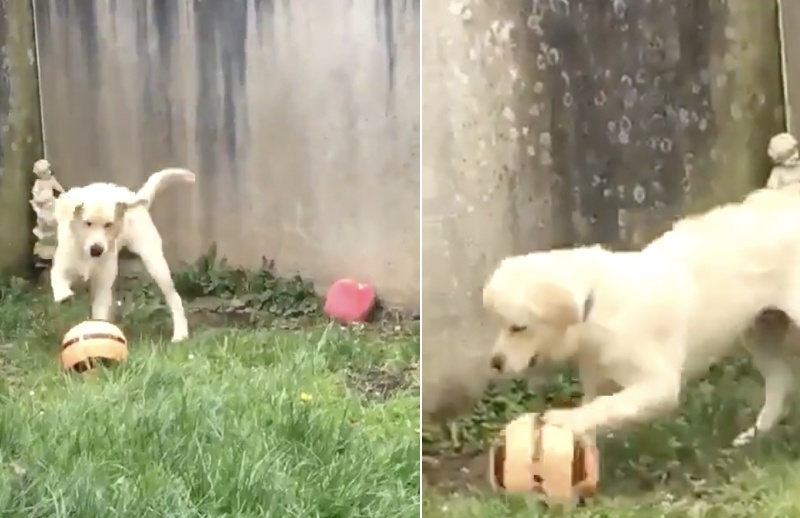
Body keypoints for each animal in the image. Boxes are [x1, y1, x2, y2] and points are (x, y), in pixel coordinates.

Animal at [52, 169, 195, 344]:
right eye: (87, 223)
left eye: (108, 224)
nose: (97, 250)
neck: (87, 256)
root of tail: (131, 196)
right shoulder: (62, 265)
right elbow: (57, 280)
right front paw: (64, 296)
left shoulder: (102, 285)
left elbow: (100, 311)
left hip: (154, 261)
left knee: (174, 297)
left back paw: (180, 333)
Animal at [484, 189, 800, 448]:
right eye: (498, 325)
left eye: (518, 328)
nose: (495, 364)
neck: (595, 306)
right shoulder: (597, 380)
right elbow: (596, 410)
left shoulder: (660, 385)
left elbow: (607, 406)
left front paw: (566, 420)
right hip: (759, 330)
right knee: (781, 380)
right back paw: (755, 435)